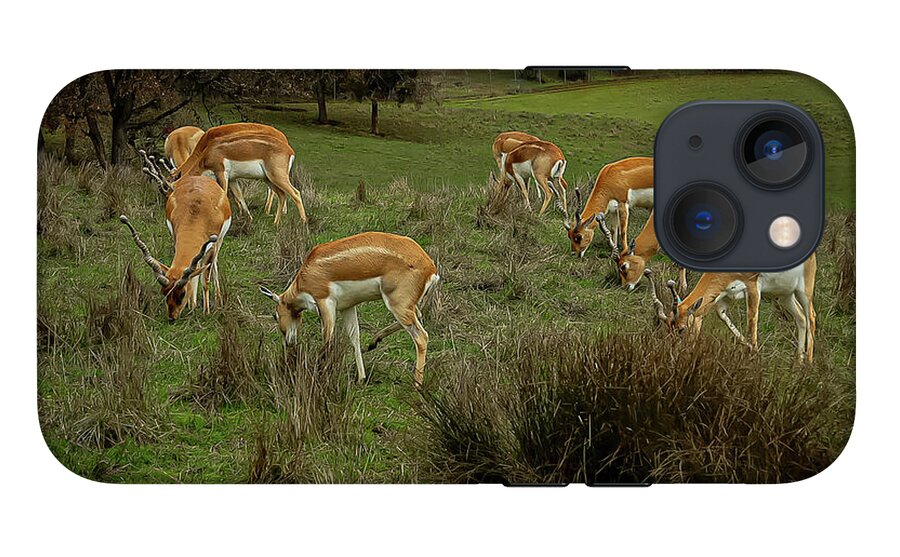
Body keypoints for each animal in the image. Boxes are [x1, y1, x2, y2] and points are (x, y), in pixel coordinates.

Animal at [121, 151, 232, 320]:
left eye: (182, 293)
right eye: (165, 292)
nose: (172, 317)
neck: (197, 213)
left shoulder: (211, 245)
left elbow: (205, 278)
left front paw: (206, 312)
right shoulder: (176, 237)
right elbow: (193, 272)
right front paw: (192, 306)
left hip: (219, 242)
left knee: (213, 264)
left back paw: (218, 298)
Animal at [170, 122, 306, 225]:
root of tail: (289, 150)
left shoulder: (221, 173)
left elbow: (224, 195)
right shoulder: (232, 179)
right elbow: (239, 196)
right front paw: (248, 217)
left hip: (277, 177)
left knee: (295, 193)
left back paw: (303, 222)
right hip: (268, 178)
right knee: (282, 194)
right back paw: (276, 222)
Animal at [259, 232, 440, 386]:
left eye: (275, 315)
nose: (289, 342)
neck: (306, 274)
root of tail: (430, 267)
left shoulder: (325, 303)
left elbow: (328, 340)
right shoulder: (347, 307)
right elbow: (354, 337)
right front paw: (361, 378)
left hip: (396, 304)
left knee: (421, 336)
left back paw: (417, 384)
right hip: (405, 305)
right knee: (418, 316)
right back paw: (373, 342)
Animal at [644, 253, 817, 362]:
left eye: (681, 329)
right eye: (667, 328)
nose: (674, 353)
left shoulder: (753, 288)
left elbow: (752, 321)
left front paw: (754, 355)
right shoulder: (724, 297)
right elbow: (724, 318)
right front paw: (750, 348)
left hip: (804, 291)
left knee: (811, 316)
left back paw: (808, 364)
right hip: (784, 295)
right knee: (801, 317)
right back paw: (798, 362)